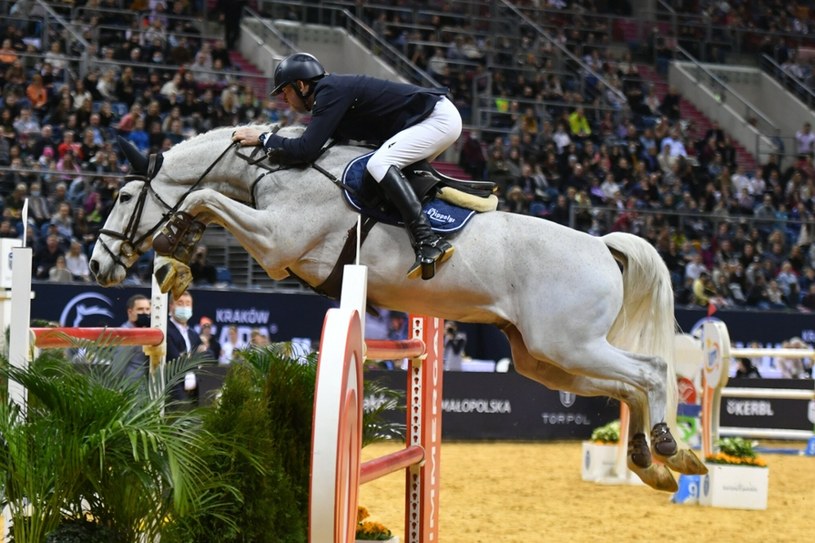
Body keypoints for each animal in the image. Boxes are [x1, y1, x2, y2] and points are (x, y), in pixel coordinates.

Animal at [91, 125, 708, 490]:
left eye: (123, 196)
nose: (98, 266)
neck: (279, 171)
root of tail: (603, 246)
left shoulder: (277, 245)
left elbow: (203, 197)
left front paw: (175, 244)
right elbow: (203, 202)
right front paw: (175, 261)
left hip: (569, 343)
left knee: (650, 372)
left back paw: (669, 447)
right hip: (544, 357)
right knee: (626, 386)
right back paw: (658, 463)